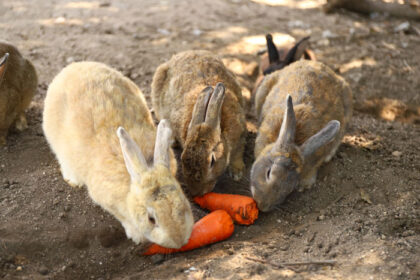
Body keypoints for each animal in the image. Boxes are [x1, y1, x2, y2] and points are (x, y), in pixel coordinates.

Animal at [42, 62, 194, 248]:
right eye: (151, 219)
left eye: (183, 204)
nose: (179, 241)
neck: (144, 167)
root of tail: (71, 67)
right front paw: (137, 236)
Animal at [153, 49, 248, 196]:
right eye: (182, 157)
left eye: (212, 161)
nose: (196, 192)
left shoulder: (240, 134)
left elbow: (237, 153)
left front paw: (237, 173)